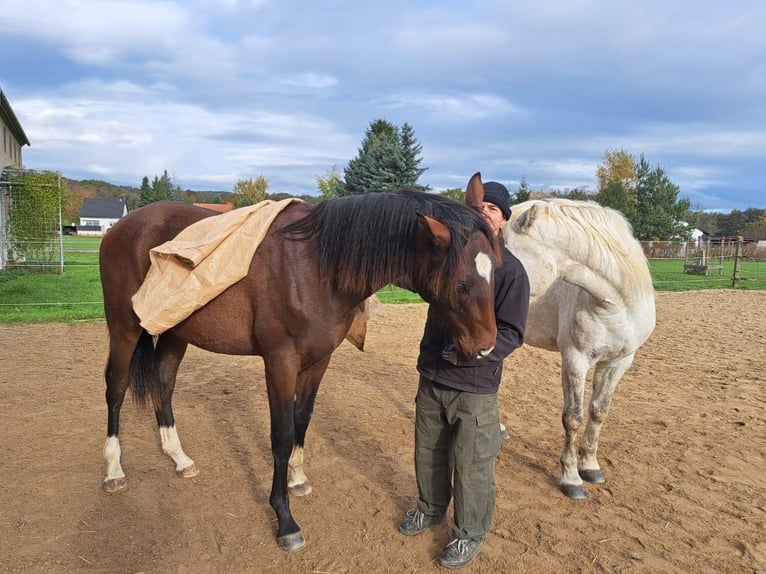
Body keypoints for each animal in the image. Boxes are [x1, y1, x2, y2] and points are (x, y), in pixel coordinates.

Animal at [98, 173, 500, 552]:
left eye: (495, 270)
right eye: (461, 285)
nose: (484, 348)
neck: (317, 267)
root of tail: (122, 227)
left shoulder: (318, 361)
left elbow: (302, 420)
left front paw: (298, 479)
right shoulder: (280, 362)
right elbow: (281, 434)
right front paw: (285, 519)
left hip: (174, 331)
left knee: (163, 384)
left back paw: (179, 458)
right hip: (124, 328)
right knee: (116, 388)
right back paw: (114, 470)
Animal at [501, 198, 656, 499]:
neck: (615, 304)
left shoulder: (618, 362)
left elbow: (599, 412)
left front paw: (591, 467)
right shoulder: (575, 360)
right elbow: (573, 417)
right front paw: (571, 478)